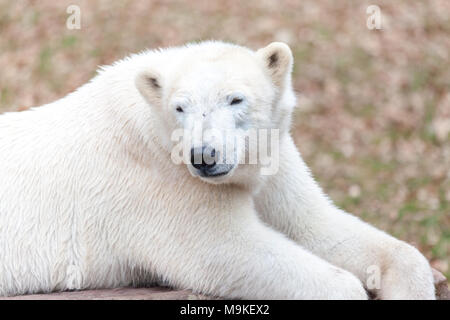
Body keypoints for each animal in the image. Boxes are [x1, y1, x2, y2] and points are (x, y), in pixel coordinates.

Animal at [0, 41, 436, 298]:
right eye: (180, 107)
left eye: (235, 99)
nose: (204, 156)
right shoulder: (161, 182)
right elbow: (224, 249)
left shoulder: (273, 160)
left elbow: (314, 225)